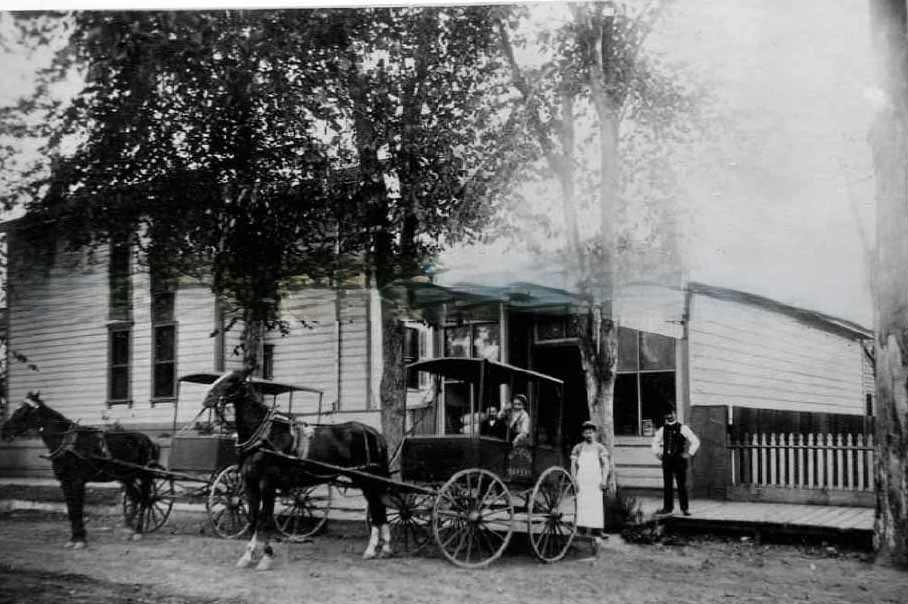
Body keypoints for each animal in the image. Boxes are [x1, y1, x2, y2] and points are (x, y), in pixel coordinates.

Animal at [0, 392, 161, 548]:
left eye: (21, 411)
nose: (4, 430)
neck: (67, 443)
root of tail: (148, 440)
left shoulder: (78, 481)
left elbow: (77, 509)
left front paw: (80, 539)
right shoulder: (65, 482)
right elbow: (71, 510)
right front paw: (74, 538)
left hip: (144, 475)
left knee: (145, 499)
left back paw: (138, 530)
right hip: (126, 477)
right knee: (136, 498)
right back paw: (131, 528)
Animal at [202, 368, 390, 572]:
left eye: (232, 380)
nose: (207, 398)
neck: (264, 436)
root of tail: (372, 432)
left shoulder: (267, 484)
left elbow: (265, 519)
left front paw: (266, 556)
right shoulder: (249, 483)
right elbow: (252, 517)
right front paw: (247, 556)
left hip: (367, 479)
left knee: (377, 509)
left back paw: (374, 549)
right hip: (366, 480)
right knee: (378, 509)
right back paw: (382, 549)